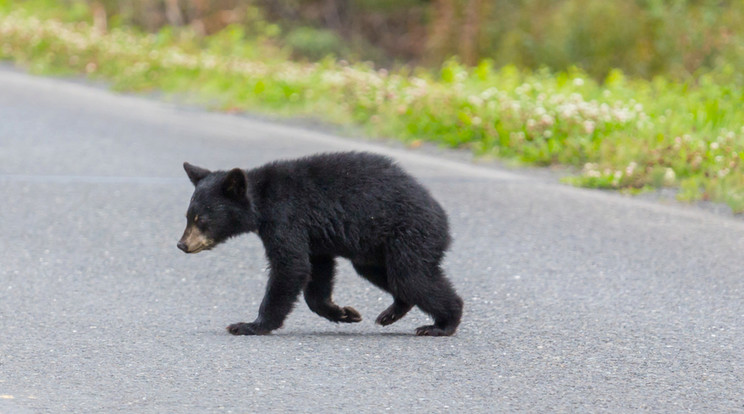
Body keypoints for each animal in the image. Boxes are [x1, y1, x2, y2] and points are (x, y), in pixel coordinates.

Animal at [177, 152, 462, 336]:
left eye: (201, 219)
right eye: (188, 216)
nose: (182, 244)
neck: (262, 200)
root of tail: (444, 220)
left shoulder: (286, 219)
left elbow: (291, 266)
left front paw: (250, 325)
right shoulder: (314, 238)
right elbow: (317, 272)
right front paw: (344, 313)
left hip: (410, 235)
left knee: (412, 277)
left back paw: (442, 324)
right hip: (375, 250)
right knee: (387, 275)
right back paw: (392, 312)